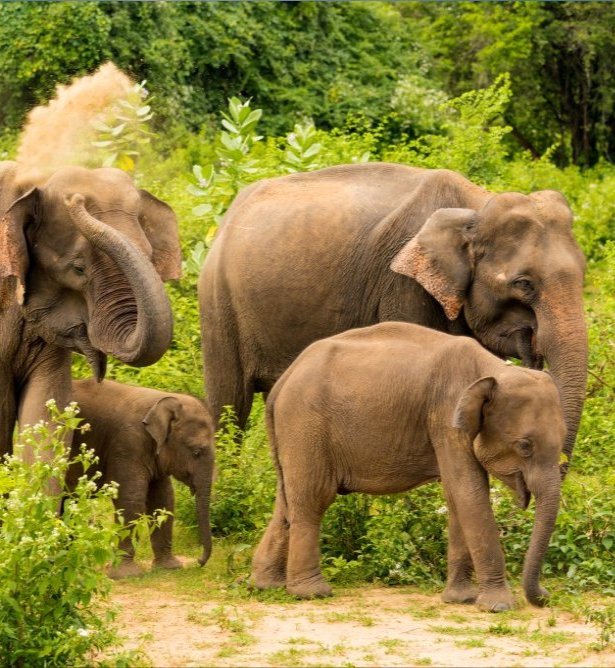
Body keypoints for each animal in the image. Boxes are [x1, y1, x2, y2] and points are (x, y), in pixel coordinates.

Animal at [67, 378, 215, 578]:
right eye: (196, 452)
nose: (198, 562)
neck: (162, 402)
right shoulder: (127, 444)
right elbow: (131, 499)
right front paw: (126, 575)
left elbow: (163, 499)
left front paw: (170, 567)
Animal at [251, 322, 566, 611]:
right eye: (524, 446)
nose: (546, 596)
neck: (492, 369)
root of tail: (282, 382)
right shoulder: (445, 417)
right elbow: (469, 492)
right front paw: (498, 606)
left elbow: (457, 497)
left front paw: (460, 599)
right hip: (305, 425)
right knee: (312, 499)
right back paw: (312, 593)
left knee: (286, 502)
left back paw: (267, 585)